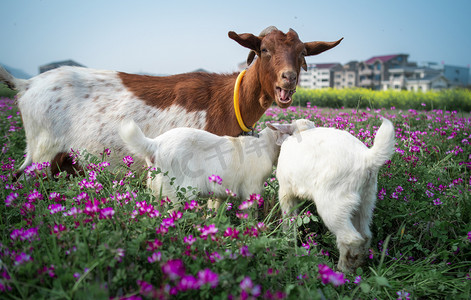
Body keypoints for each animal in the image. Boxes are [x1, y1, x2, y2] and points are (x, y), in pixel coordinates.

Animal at [0, 27, 342, 176]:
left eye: (302, 53)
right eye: (265, 49)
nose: (289, 78)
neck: (226, 99)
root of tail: (27, 84)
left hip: (60, 158)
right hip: (42, 149)